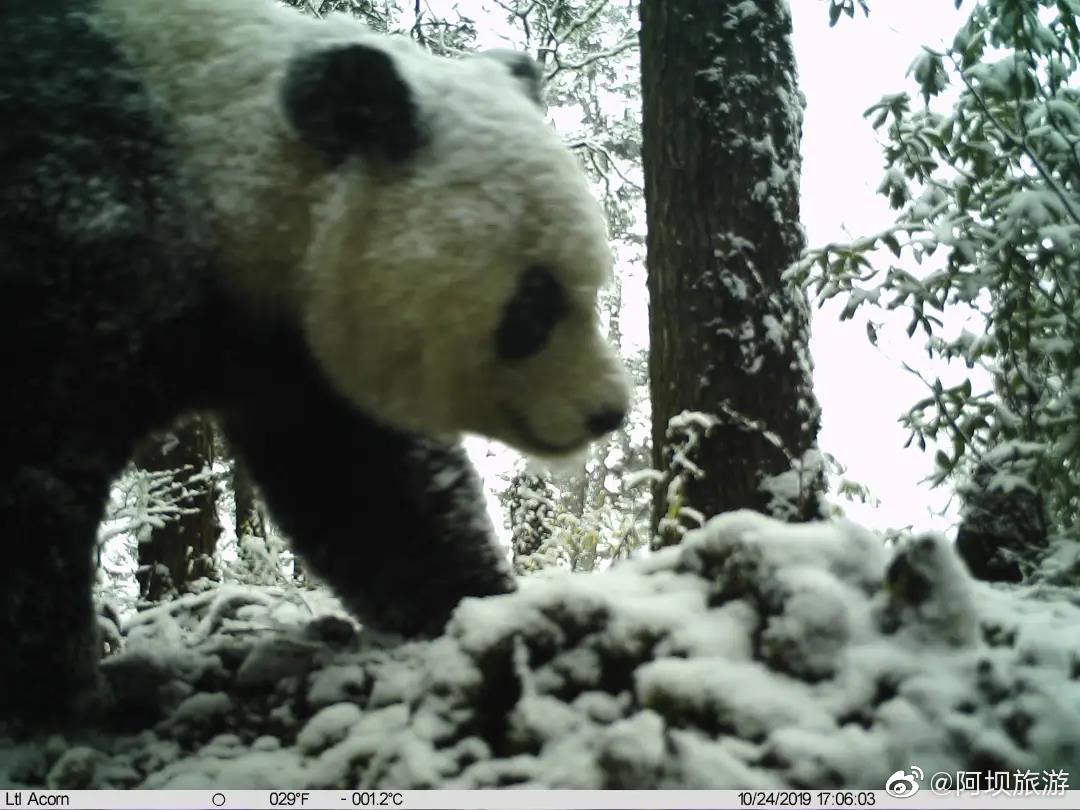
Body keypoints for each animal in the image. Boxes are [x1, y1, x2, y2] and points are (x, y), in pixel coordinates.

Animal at [0, 0, 629, 729]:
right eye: (533, 305)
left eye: (592, 283)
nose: (609, 410)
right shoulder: (77, 211)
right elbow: (32, 471)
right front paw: (77, 694)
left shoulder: (291, 342)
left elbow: (368, 482)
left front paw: (477, 603)